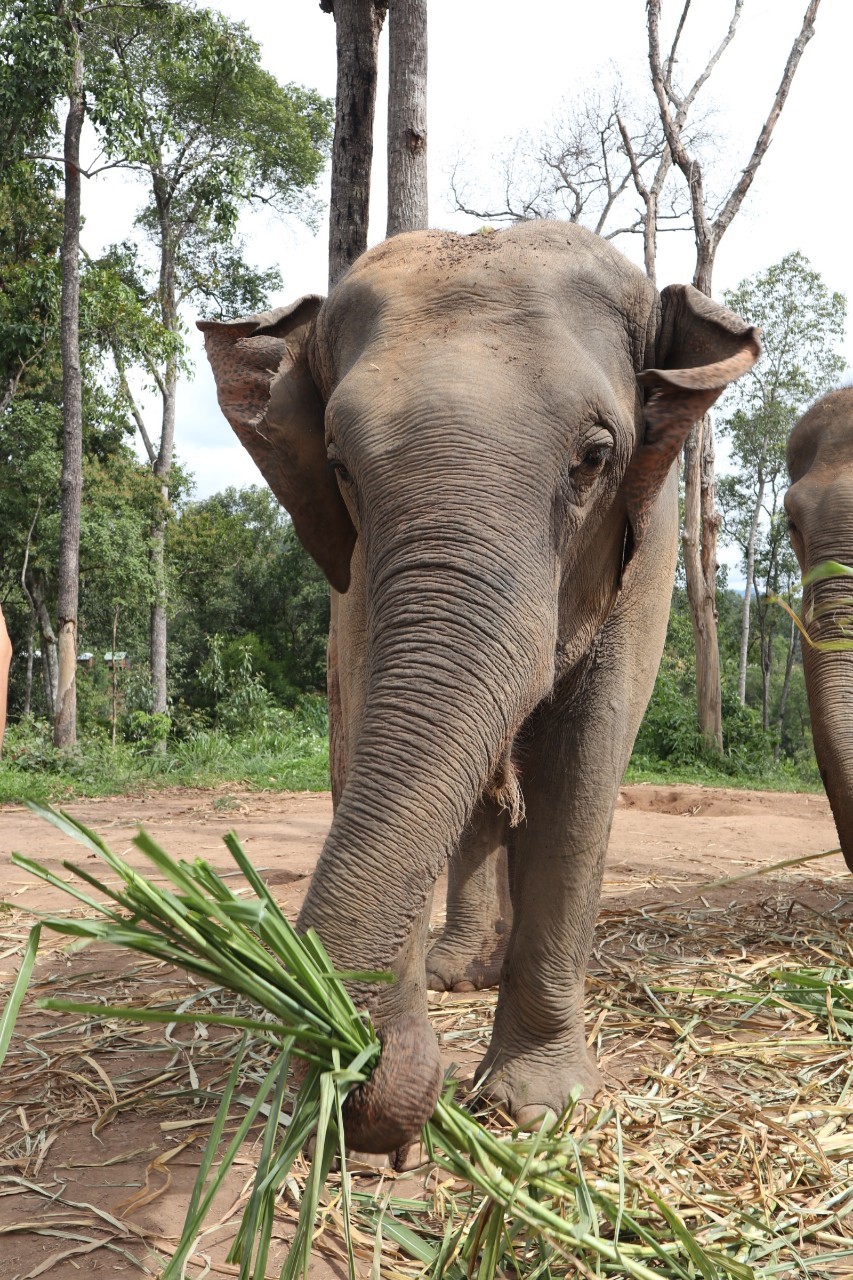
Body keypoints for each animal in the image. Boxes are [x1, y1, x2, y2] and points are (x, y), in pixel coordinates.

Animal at [201, 225, 758, 1157]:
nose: (367, 1074)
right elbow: (369, 734)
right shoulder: (352, 585)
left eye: (594, 459)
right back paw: (456, 972)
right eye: (340, 466)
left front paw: (533, 1109)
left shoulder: (647, 553)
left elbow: (581, 772)